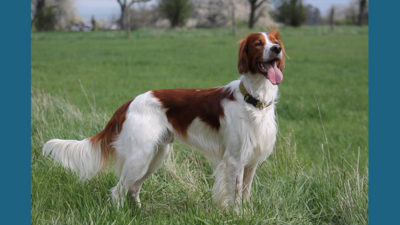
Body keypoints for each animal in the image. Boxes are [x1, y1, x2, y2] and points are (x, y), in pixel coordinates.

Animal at [43, 29, 284, 209]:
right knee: (118, 191)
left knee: (133, 188)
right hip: (140, 157)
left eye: (275, 41)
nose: (277, 49)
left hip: (155, 156)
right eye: (258, 43)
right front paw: (236, 215)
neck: (252, 99)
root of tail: (130, 102)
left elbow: (245, 193)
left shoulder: (250, 161)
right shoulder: (234, 160)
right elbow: (234, 197)